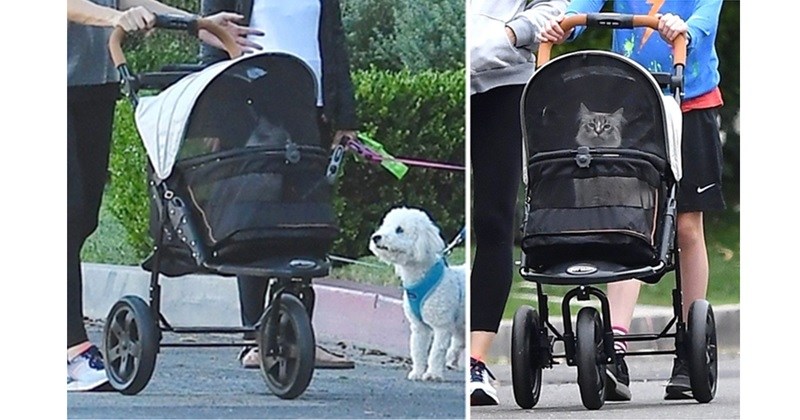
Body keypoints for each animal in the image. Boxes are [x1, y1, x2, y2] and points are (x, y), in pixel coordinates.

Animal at [370, 207, 466, 380]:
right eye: (385, 225)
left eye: (399, 230)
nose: (376, 237)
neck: (421, 277)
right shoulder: (419, 327)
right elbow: (418, 350)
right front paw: (417, 373)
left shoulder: (442, 326)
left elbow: (436, 352)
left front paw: (433, 374)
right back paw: (451, 362)